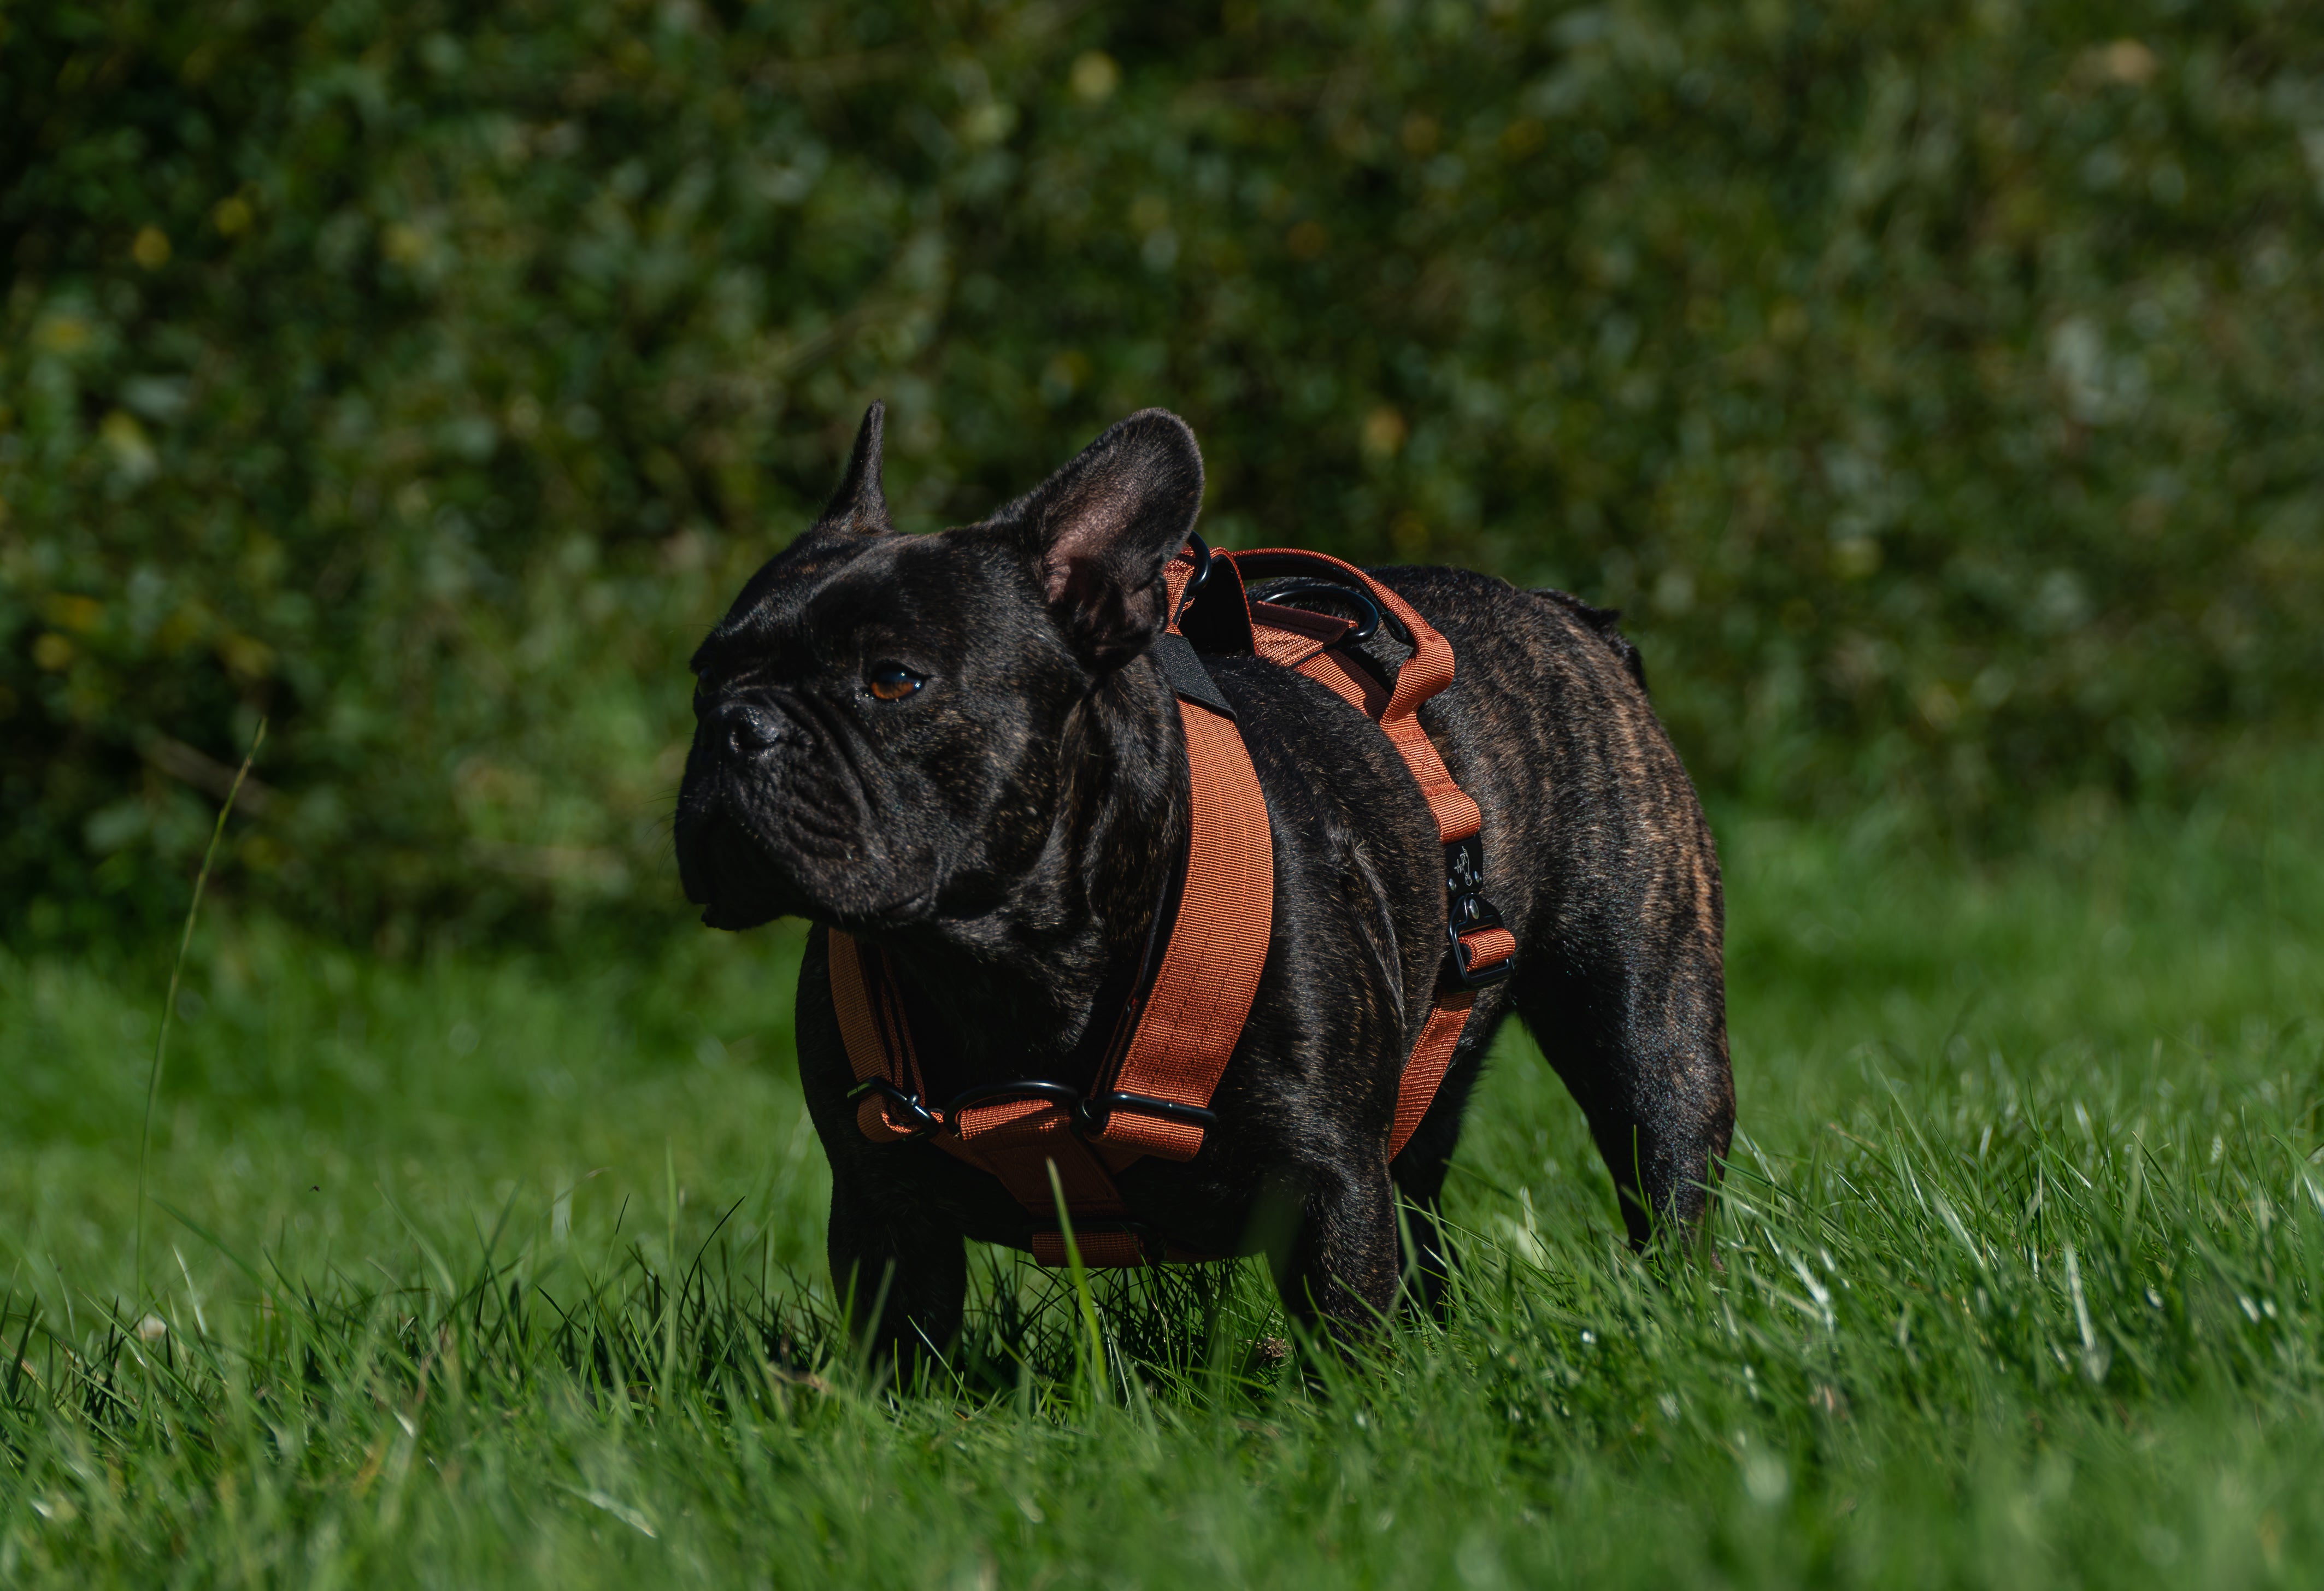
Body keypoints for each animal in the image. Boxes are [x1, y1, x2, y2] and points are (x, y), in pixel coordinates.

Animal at [674, 399, 1729, 1356]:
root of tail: (1562, 613)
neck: (1002, 959)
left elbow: (1347, 1335)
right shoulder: (885, 1214)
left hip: (1645, 1013)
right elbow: (899, 1353)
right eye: (704, 676)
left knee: (1664, 1157)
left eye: (894, 679)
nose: (739, 725)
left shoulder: (1327, 1183)